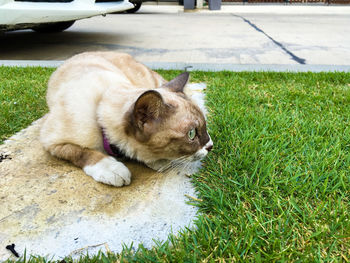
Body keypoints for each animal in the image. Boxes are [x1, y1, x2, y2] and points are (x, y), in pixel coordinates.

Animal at [39, 52, 212, 188]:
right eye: (191, 134)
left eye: (204, 128)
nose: (210, 146)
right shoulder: (53, 142)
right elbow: (83, 152)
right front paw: (113, 170)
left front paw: (159, 162)